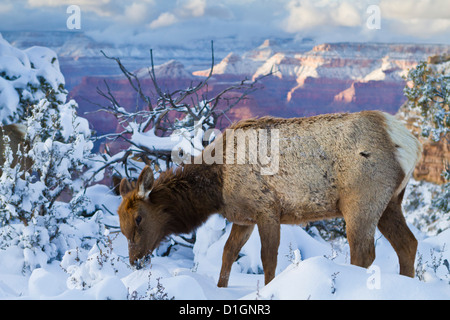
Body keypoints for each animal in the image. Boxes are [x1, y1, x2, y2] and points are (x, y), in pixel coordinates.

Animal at [117, 110, 422, 288]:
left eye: (139, 218)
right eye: (121, 226)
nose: (135, 261)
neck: (217, 187)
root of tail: (410, 143)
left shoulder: (267, 209)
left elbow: (268, 259)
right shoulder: (244, 218)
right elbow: (228, 253)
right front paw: (220, 288)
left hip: (361, 199)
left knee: (363, 252)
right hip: (391, 201)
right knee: (407, 244)